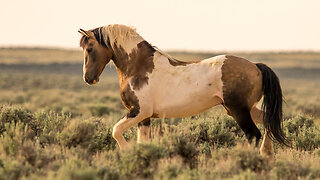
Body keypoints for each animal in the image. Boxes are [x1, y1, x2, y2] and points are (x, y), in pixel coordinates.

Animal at [79, 24, 288, 158]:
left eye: (89, 48)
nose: (88, 79)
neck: (138, 67)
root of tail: (256, 66)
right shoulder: (144, 118)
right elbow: (142, 142)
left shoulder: (139, 112)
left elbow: (116, 131)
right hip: (246, 109)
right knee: (268, 122)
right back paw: (268, 155)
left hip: (239, 111)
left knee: (254, 135)